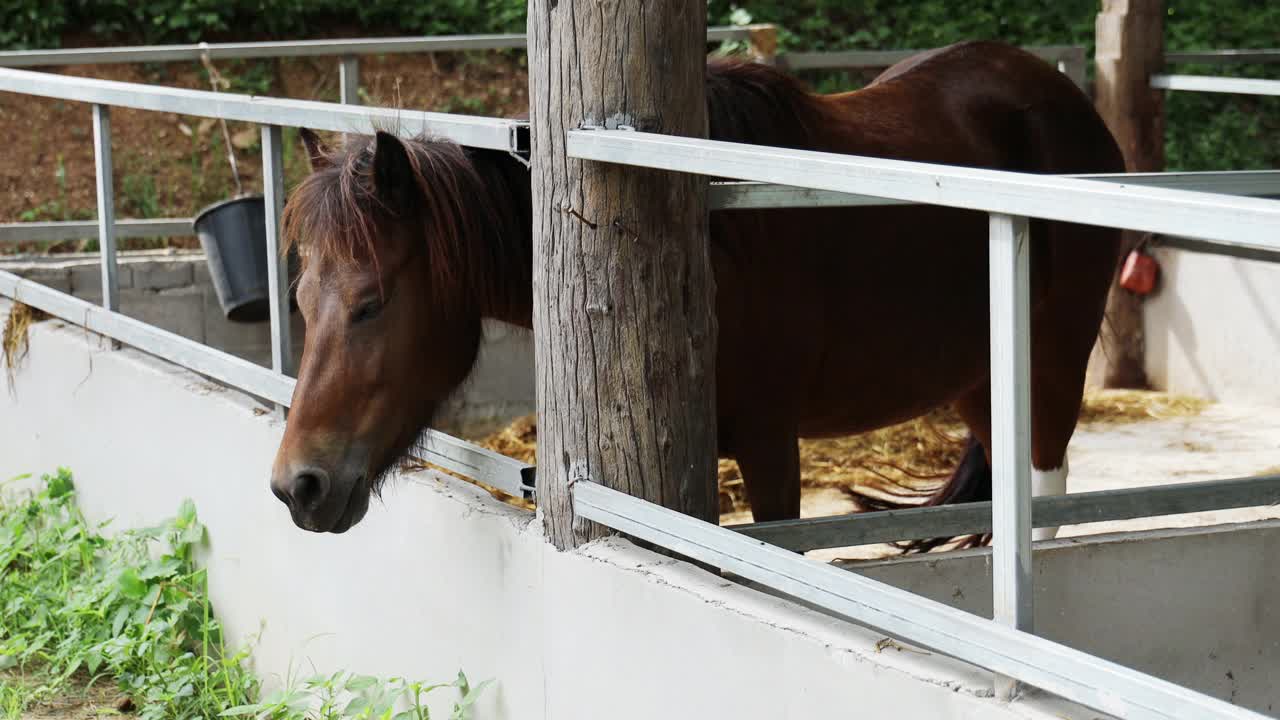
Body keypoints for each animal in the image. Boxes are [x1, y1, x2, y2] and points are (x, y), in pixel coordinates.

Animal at [267, 40, 1121, 543]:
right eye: (302, 303)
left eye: (370, 304)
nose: (296, 486)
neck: (711, 245)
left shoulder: (771, 442)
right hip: (980, 379)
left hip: (1055, 361)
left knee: (1046, 494)